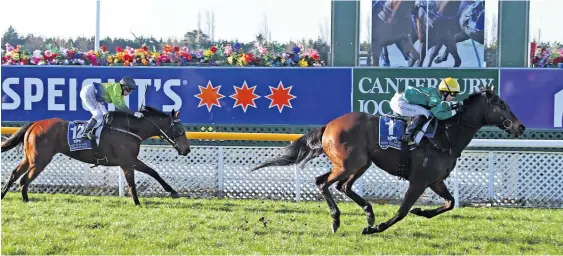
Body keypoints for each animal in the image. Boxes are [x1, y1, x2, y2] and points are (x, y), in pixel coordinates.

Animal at [0, 105, 192, 205]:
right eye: (179, 129)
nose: (187, 150)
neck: (130, 129)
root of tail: (34, 124)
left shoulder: (126, 163)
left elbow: (134, 181)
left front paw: (137, 201)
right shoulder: (129, 160)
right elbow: (152, 173)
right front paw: (171, 192)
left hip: (30, 158)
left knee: (15, 174)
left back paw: (3, 195)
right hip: (40, 160)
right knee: (24, 179)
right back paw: (26, 200)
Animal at [253, 86, 528, 234]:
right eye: (502, 105)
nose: (521, 126)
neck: (446, 135)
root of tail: (329, 125)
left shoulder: (435, 181)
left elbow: (449, 203)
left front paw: (421, 211)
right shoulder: (419, 181)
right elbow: (402, 211)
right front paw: (375, 229)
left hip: (361, 163)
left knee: (344, 186)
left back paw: (368, 213)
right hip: (348, 163)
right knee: (323, 182)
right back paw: (337, 219)